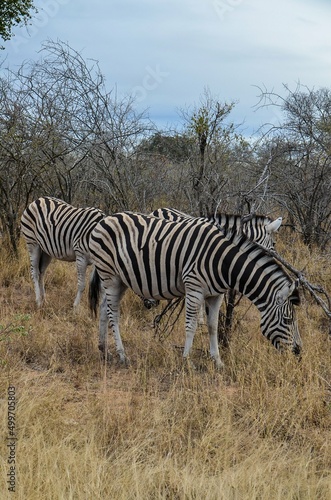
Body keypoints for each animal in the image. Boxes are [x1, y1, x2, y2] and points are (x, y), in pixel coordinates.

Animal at [89, 211, 304, 368]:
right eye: (288, 320)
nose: (298, 353)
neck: (223, 261)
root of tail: (106, 218)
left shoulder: (216, 294)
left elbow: (213, 326)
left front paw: (218, 361)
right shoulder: (194, 289)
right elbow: (190, 326)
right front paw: (187, 361)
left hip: (120, 279)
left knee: (104, 308)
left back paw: (103, 349)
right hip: (110, 275)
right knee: (113, 314)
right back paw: (122, 355)